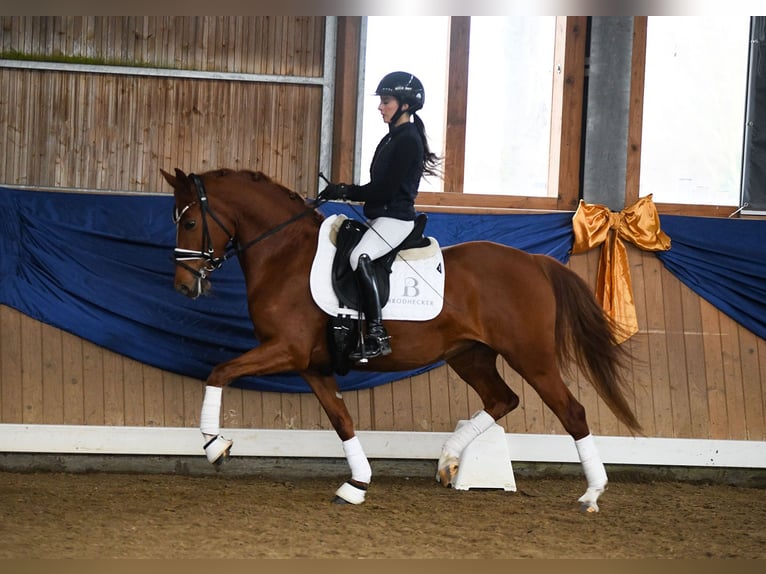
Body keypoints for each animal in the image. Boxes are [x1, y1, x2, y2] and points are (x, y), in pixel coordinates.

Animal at [162, 166, 640, 512]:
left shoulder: (286, 350)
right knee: (502, 399)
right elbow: (342, 420)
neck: (286, 255)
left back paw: (592, 493)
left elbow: (219, 371)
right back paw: (448, 460)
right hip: (469, 356)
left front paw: (214, 445)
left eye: (190, 221)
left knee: (571, 411)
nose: (184, 287)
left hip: (531, 357)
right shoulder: (311, 365)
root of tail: (535, 262)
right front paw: (357, 484)